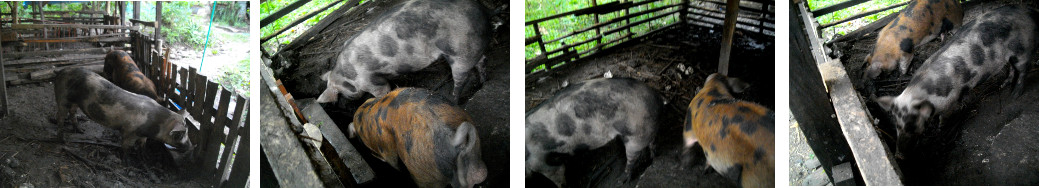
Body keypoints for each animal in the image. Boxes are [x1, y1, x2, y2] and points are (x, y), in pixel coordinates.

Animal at [53, 67, 195, 155]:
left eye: (188, 131)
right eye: (180, 135)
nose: (191, 147)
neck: (155, 125)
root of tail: (61, 71)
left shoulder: (143, 135)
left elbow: (142, 145)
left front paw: (144, 156)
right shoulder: (129, 131)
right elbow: (126, 148)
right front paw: (127, 162)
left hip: (75, 102)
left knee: (72, 113)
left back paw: (80, 131)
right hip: (62, 97)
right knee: (60, 117)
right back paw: (62, 140)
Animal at [313, 0, 488, 103]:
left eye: (346, 94)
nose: (352, 98)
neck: (345, 74)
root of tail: (479, 9)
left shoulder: (370, 81)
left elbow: (382, 91)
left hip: (460, 49)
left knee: (461, 78)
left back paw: (454, 99)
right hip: (472, 47)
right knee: (482, 60)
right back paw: (483, 83)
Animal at [523, 77, 660, 186]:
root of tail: (654, 96)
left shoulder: (541, 162)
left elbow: (558, 176)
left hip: (636, 132)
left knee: (632, 159)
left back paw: (621, 180)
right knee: (652, 143)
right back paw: (653, 159)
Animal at [876, 5, 1039, 158]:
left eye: (912, 125)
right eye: (897, 125)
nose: (899, 155)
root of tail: (1026, 10)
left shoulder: (950, 101)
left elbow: (944, 117)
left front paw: (941, 129)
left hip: (1022, 48)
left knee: (1023, 69)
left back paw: (1014, 95)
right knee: (1011, 67)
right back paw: (1004, 84)